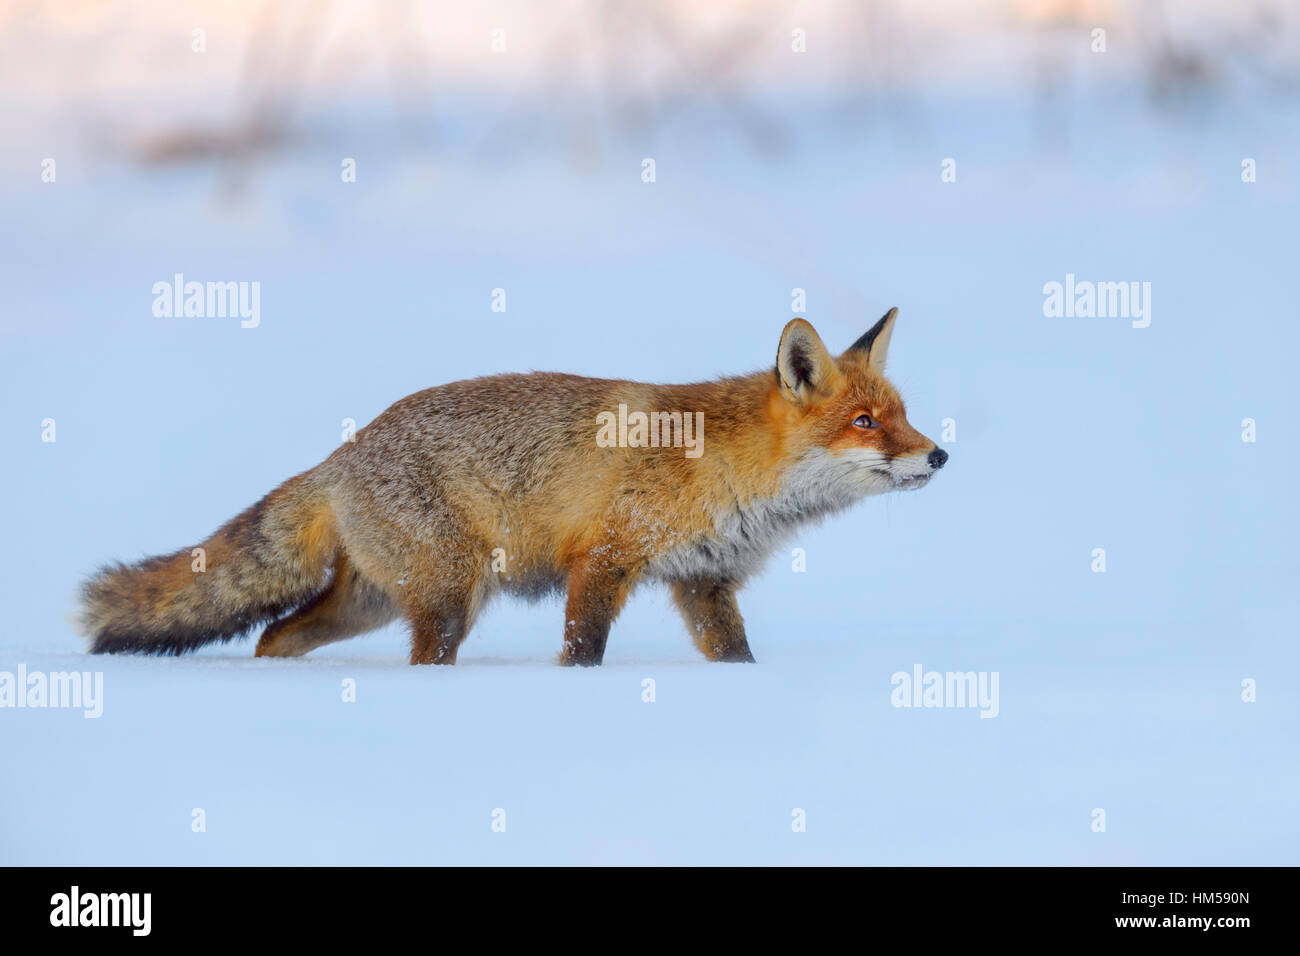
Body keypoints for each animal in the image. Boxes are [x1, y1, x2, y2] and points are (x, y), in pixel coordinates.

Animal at [80, 309, 947, 666]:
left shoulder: (704, 583)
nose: (939, 456)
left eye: (902, 416)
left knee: (272, 635)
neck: (724, 469)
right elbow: (582, 653)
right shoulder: (602, 560)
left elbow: (737, 660)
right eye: (866, 422)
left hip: (373, 603)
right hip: (446, 598)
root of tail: (341, 456)